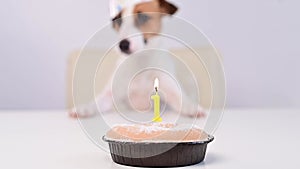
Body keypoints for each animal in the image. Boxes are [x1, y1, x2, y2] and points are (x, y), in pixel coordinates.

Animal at [69, 0, 206, 119]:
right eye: (119, 21)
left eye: (143, 17)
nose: (123, 45)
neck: (141, 62)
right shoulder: (110, 95)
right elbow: (96, 102)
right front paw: (84, 109)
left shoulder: (172, 92)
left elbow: (184, 102)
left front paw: (194, 109)